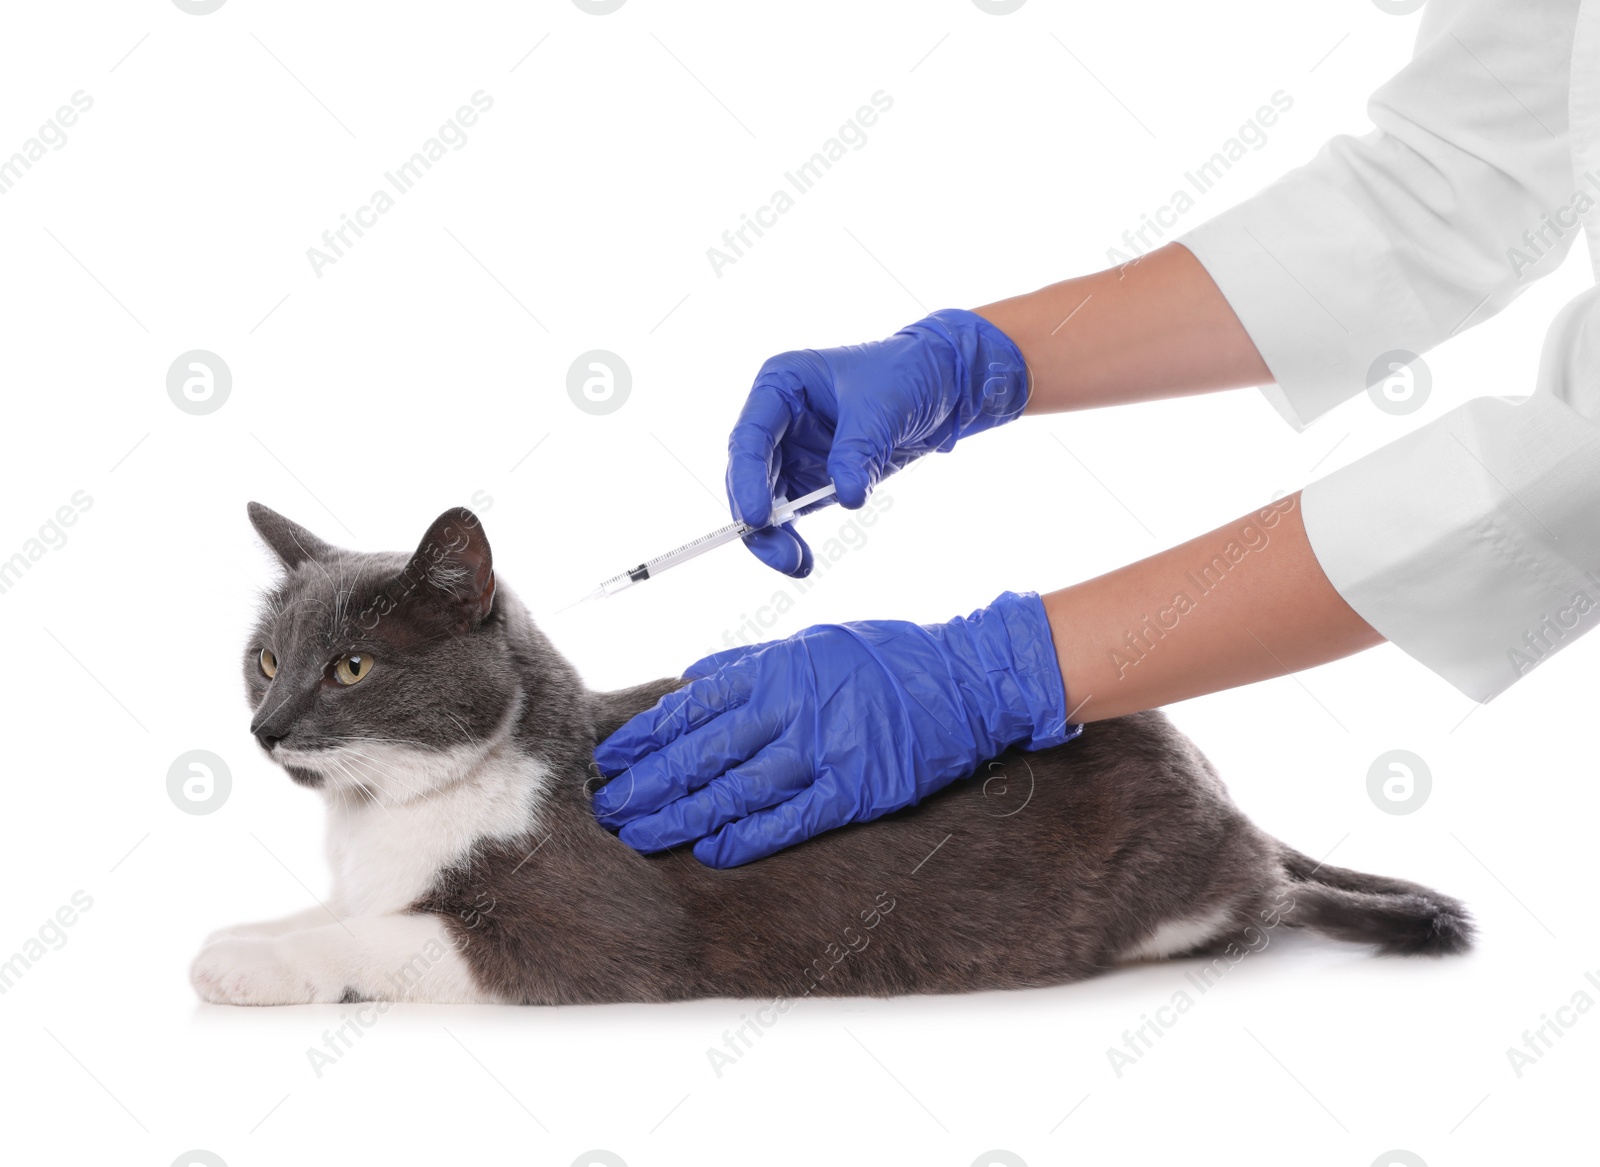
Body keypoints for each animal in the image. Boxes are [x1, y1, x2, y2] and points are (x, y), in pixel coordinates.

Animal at [190, 505, 1472, 1005]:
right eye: (265, 661)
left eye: (351, 670)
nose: (263, 727)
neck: (383, 817)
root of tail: (1225, 799)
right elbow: (332, 912)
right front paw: (251, 930)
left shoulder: (584, 934)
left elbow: (389, 939)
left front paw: (240, 963)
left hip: (1182, 891)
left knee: (1270, 898)